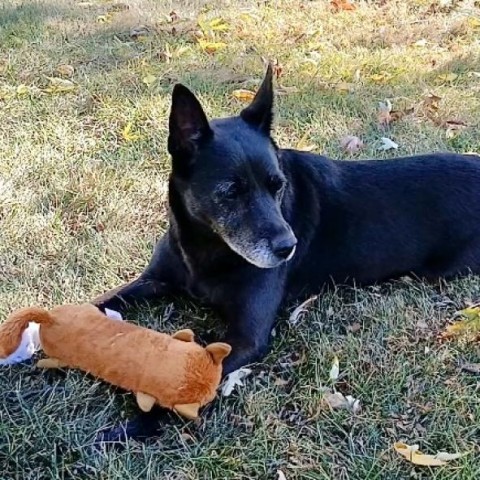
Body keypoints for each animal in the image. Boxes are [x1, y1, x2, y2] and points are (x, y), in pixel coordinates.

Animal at [94, 66, 480, 438]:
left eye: (277, 185)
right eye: (231, 192)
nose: (288, 248)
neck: (205, 246)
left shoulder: (246, 338)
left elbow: (197, 378)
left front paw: (137, 424)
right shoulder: (154, 279)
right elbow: (95, 305)